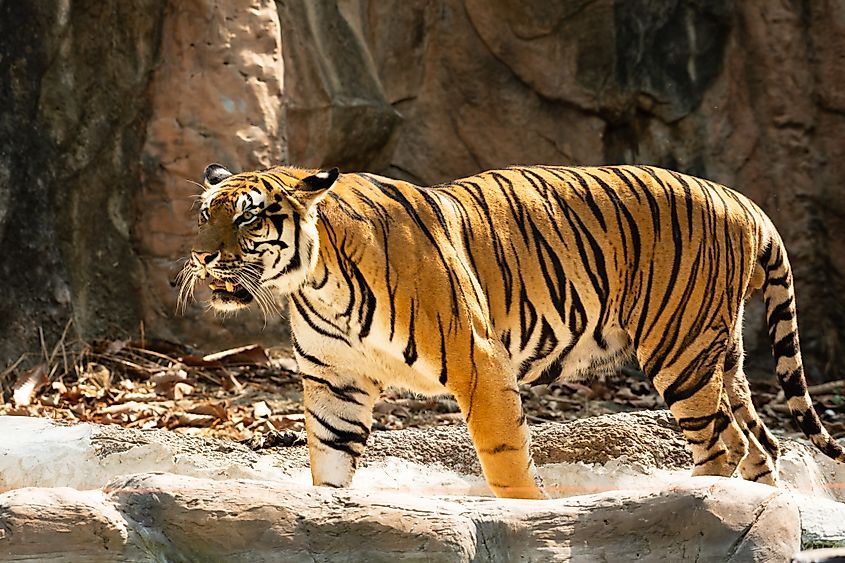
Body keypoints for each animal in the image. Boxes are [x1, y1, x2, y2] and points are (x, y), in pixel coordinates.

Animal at [180, 162, 845, 499]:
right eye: (207, 214)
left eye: (248, 219)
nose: (203, 257)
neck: (317, 281)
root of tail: (743, 201)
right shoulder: (336, 383)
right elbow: (330, 463)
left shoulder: (479, 361)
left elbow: (505, 460)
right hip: (718, 351)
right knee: (761, 444)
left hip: (678, 351)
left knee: (720, 446)